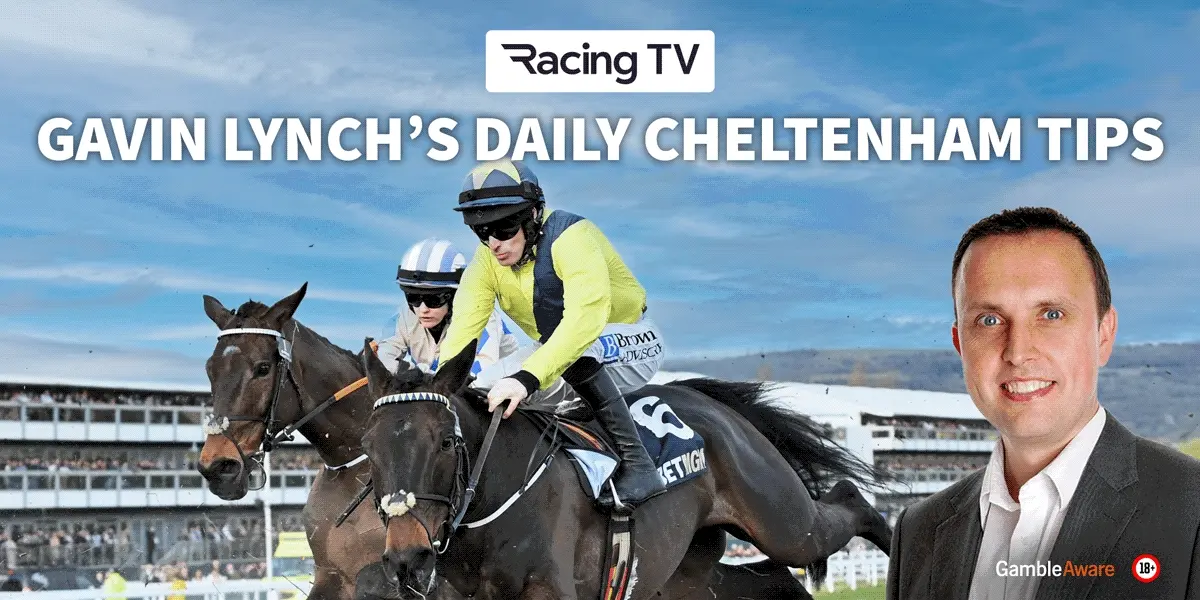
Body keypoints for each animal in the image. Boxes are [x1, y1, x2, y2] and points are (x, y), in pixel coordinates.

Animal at [357, 335, 893, 599]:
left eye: (447, 442)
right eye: (368, 447)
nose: (407, 558)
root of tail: (714, 405)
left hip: (781, 518)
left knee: (846, 501)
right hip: (685, 572)